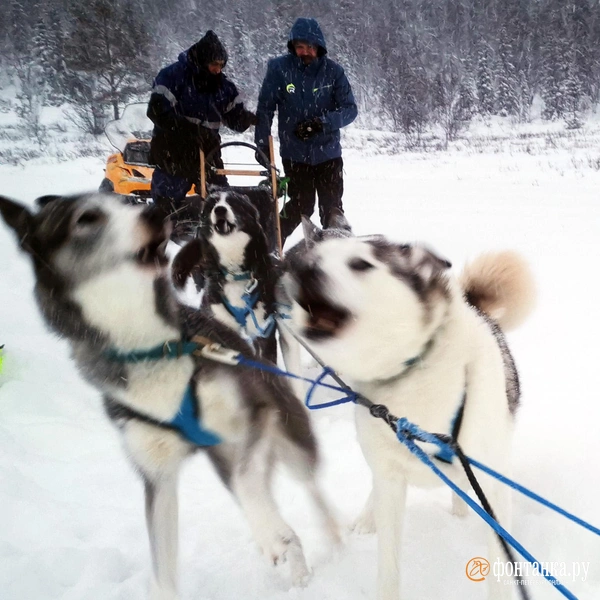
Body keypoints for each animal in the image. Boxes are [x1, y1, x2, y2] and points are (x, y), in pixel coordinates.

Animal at [0, 195, 338, 596]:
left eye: (121, 203)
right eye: (86, 218)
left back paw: (329, 541)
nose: (156, 213)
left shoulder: (256, 412)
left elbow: (252, 486)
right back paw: (295, 567)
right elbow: (162, 568)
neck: (149, 348)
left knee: (308, 486)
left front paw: (272, 534)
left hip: (283, 435)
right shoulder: (156, 476)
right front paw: (271, 535)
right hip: (228, 454)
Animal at [284, 220, 536, 600]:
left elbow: (500, 564)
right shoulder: (389, 480)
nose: (300, 268)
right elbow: (388, 565)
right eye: (314, 256)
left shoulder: (490, 482)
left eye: (360, 264)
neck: (414, 371)